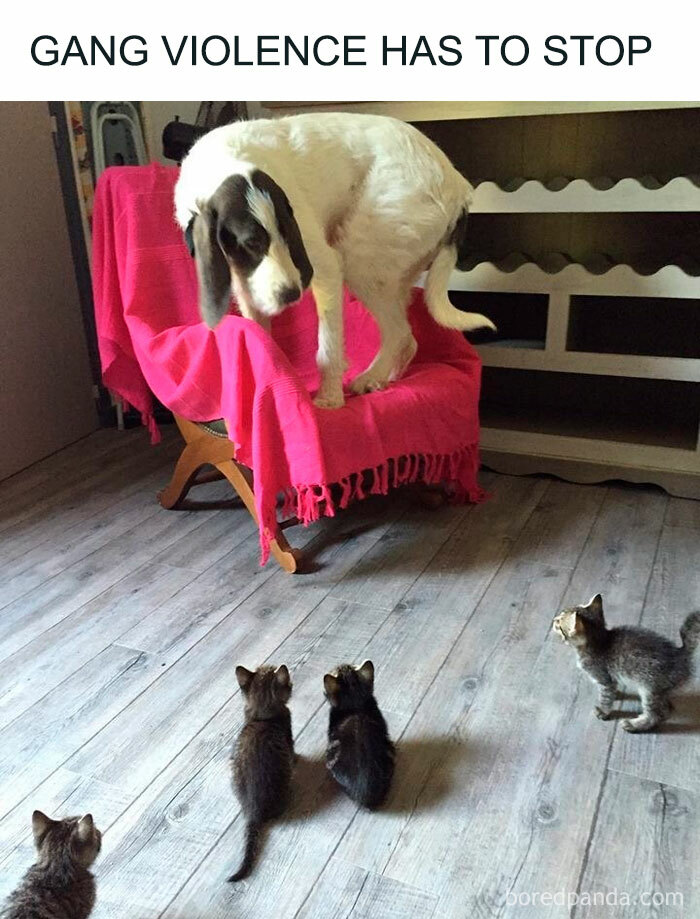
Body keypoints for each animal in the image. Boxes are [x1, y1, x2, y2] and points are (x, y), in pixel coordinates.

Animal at [174, 111, 492, 406]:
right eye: (250, 243)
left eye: (288, 235)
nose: (291, 294)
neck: (227, 161)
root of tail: (460, 190)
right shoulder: (246, 285)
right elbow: (261, 337)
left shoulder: (324, 267)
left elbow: (327, 348)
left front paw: (329, 400)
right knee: (408, 338)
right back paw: (385, 377)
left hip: (360, 258)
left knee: (399, 332)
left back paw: (370, 377)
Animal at [552, 596, 700, 732]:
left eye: (559, 624)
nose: (553, 620)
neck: (599, 639)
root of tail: (680, 653)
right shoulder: (610, 678)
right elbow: (612, 688)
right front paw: (616, 694)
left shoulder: (603, 678)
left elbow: (605, 697)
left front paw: (603, 711)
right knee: (664, 710)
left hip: (649, 689)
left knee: (654, 716)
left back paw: (634, 725)